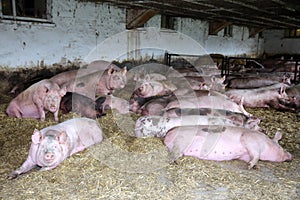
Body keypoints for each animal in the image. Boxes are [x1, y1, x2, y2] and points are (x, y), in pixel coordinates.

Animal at [164, 126, 292, 170]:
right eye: (282, 147)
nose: (291, 156)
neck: (266, 143)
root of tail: (168, 133)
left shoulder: (244, 155)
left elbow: (251, 157)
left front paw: (255, 167)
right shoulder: (250, 139)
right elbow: (256, 155)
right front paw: (250, 167)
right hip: (182, 140)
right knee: (173, 154)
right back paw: (175, 162)